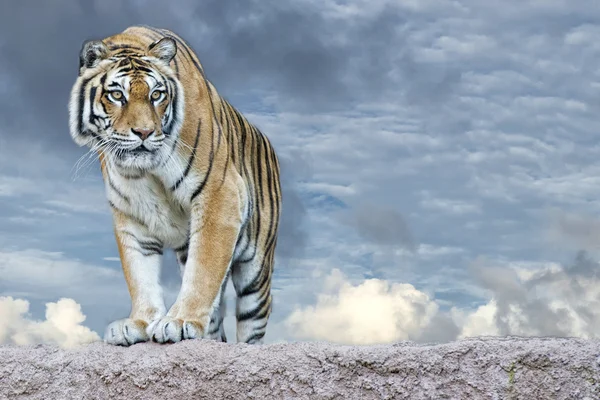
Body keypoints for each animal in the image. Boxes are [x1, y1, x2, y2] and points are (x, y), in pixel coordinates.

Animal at [67, 26, 282, 346]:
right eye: (117, 95)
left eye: (156, 95)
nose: (144, 132)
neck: (144, 171)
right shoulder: (131, 214)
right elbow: (139, 273)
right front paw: (140, 322)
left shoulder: (219, 194)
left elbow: (203, 268)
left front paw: (180, 321)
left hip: (256, 272)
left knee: (251, 324)